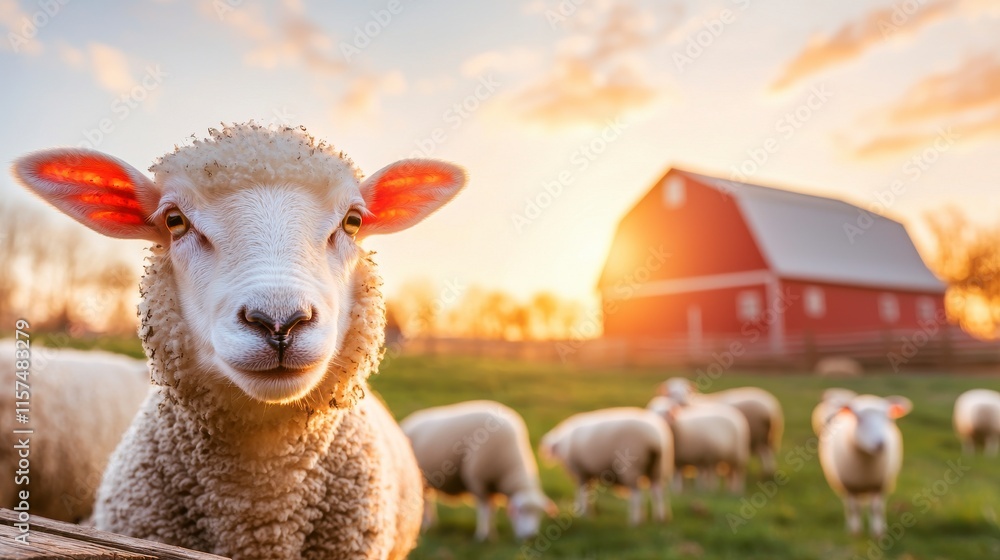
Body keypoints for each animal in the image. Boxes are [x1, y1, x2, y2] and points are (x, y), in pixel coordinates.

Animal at [400, 400, 556, 541]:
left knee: (427, 500)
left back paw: (431, 523)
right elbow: (485, 510)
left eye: (539, 514)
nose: (530, 537)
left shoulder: (491, 487)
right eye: (521, 512)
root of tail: (407, 422)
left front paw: (492, 534)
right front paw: (482, 536)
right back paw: (425, 525)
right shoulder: (478, 481)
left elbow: (492, 510)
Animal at [539, 407, 672, 526]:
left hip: (632, 468)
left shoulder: (581, 472)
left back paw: (635, 521)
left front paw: (583, 513)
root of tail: (654, 438)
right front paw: (588, 514)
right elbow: (588, 492)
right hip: (657, 466)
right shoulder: (588, 474)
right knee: (657, 492)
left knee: (637, 495)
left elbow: (581, 493)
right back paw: (660, 518)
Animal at [818, 394, 912, 537]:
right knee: (849, 506)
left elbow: (876, 509)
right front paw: (855, 532)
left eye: (887, 418)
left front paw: (878, 533)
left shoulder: (879, 484)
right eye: (859, 418)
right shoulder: (850, 485)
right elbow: (854, 508)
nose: (880, 444)